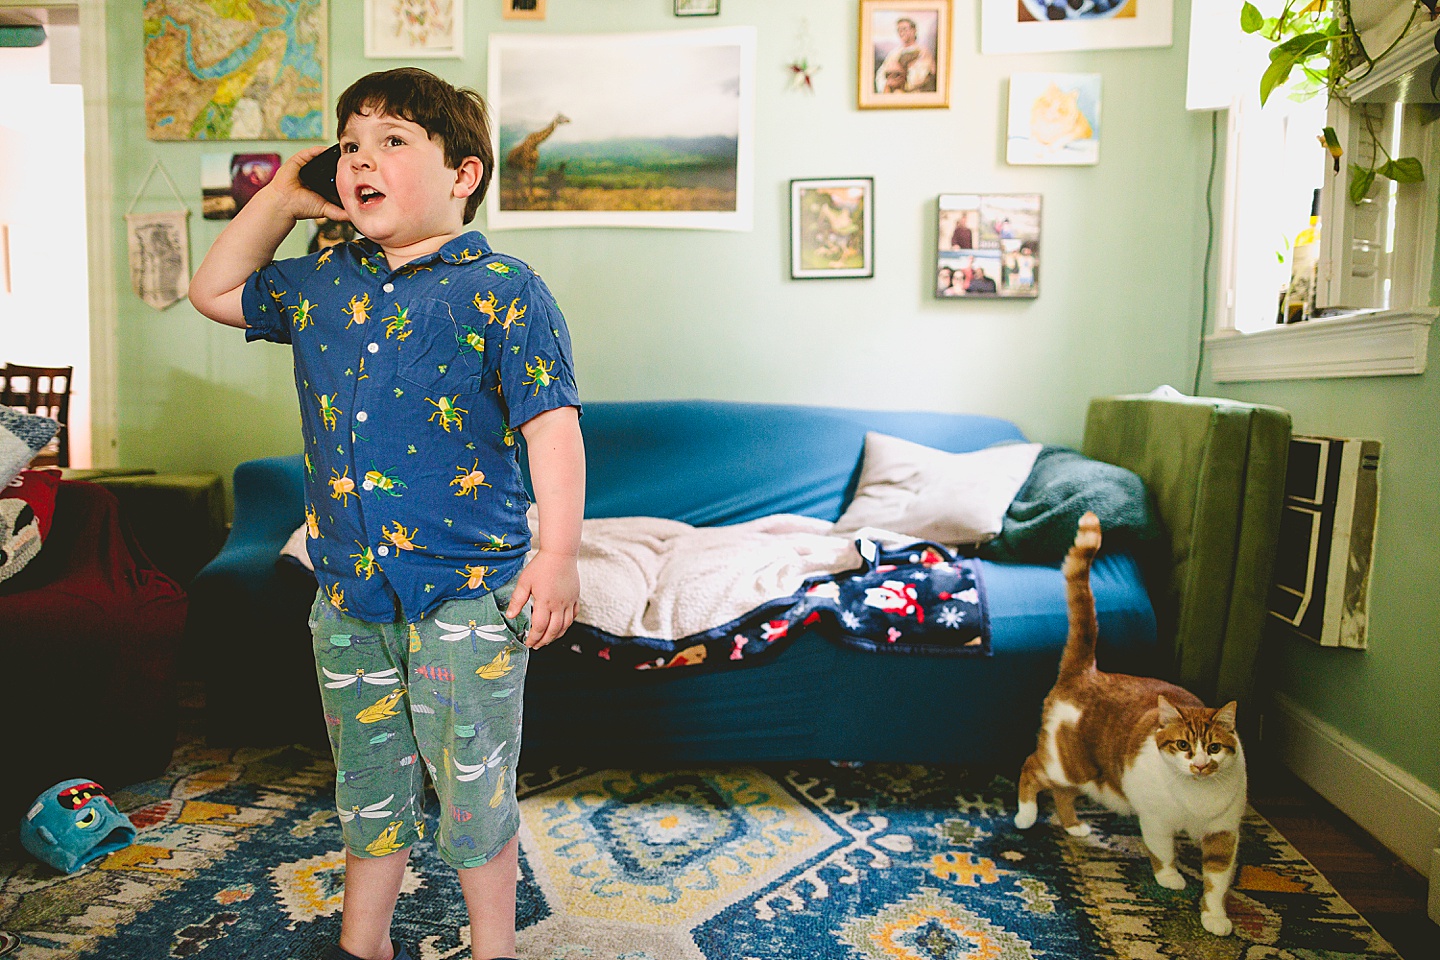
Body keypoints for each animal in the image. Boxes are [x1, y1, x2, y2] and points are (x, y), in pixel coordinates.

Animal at [1019, 515, 1244, 932]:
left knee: (1062, 794)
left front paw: (1215, 919)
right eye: (1182, 745)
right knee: (1030, 768)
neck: (1194, 797)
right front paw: (1169, 878)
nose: (1200, 765)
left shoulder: (1224, 833)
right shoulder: (1156, 819)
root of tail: (1087, 671)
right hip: (1069, 763)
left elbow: (1217, 881)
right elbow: (1162, 850)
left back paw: (1073, 826)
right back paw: (1025, 816)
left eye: (1215, 748)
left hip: (1085, 774)